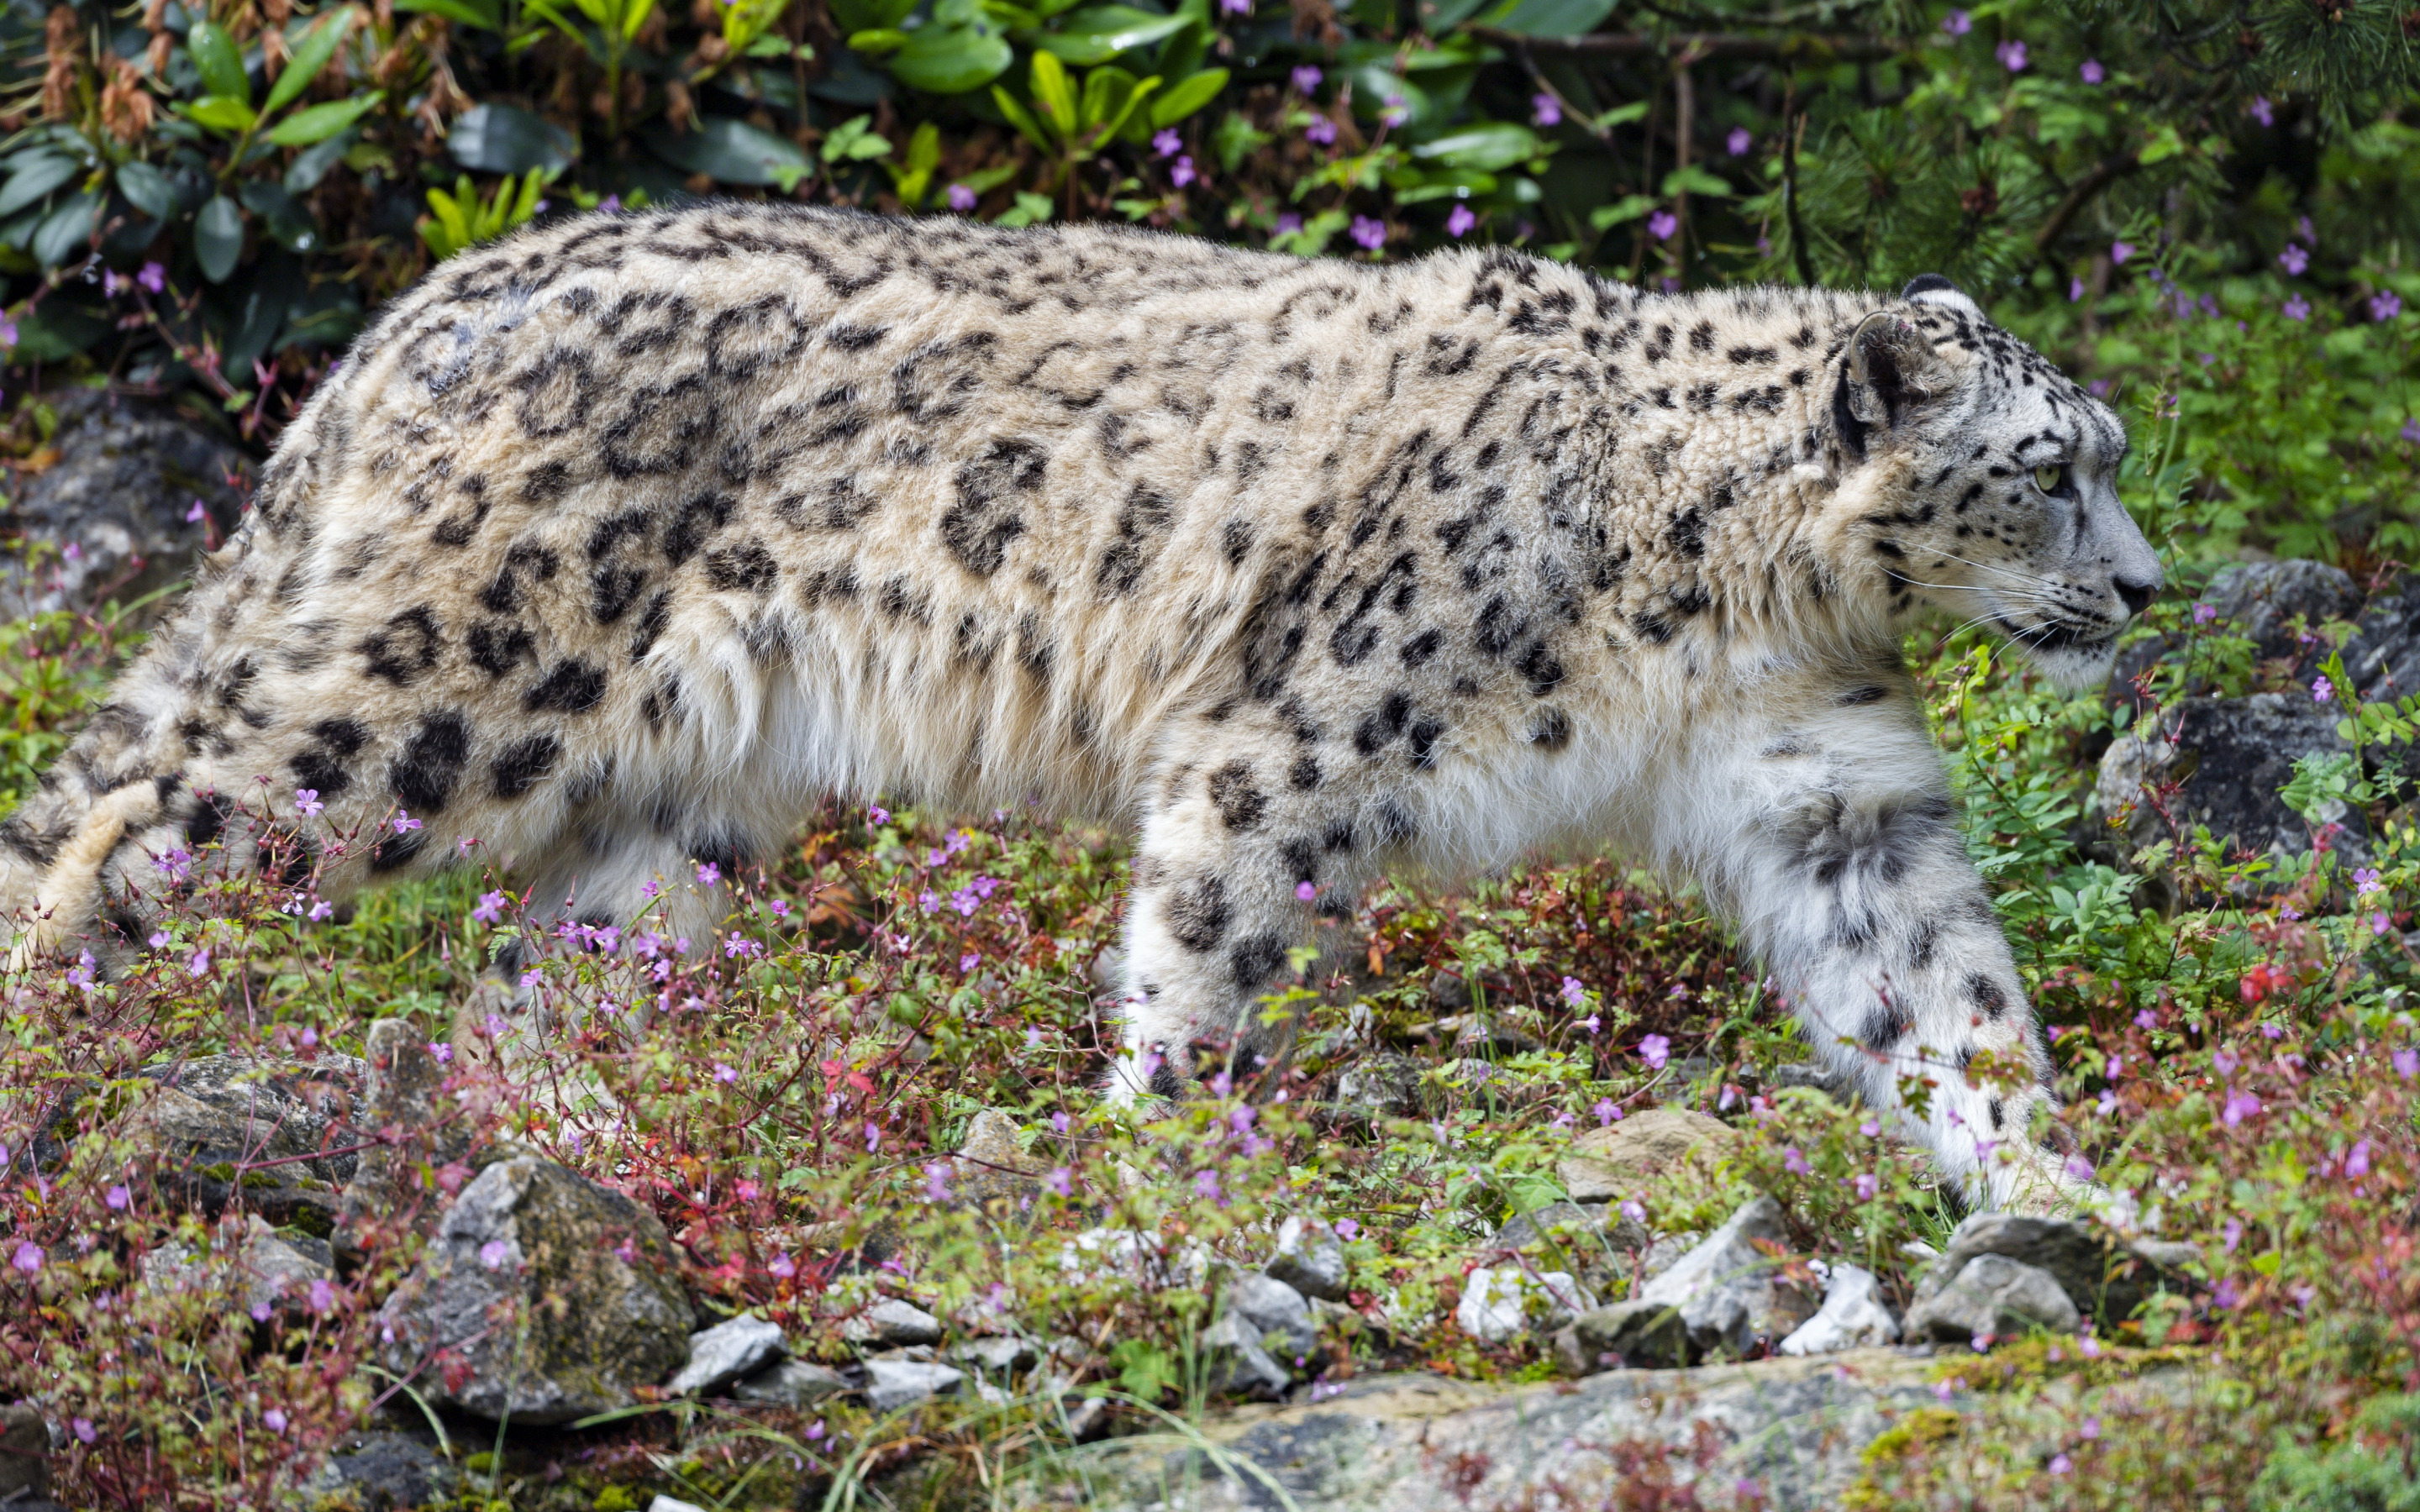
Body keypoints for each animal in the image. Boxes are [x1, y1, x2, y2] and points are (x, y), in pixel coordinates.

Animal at [0, 202, 2158, 1214]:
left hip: (670, 817)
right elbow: (1208, 971)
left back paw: (596, 1156)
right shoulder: (1288, 746)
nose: (2147, 590)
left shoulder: (1831, 787)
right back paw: (62, 1071)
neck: (1734, 609)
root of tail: (423, 307)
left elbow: (1944, 992)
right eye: (2051, 470)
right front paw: (1168, 1186)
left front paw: (2064, 1196)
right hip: (434, 703)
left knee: (529, 985)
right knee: (136, 832)